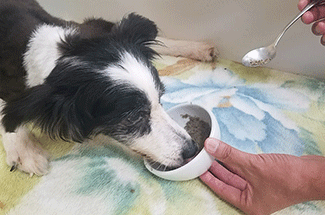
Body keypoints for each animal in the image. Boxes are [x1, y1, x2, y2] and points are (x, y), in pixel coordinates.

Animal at [0, 0, 218, 176]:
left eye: (161, 97)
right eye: (133, 117)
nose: (191, 150)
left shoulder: (92, 28)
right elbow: (6, 109)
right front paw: (24, 149)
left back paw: (197, 48)